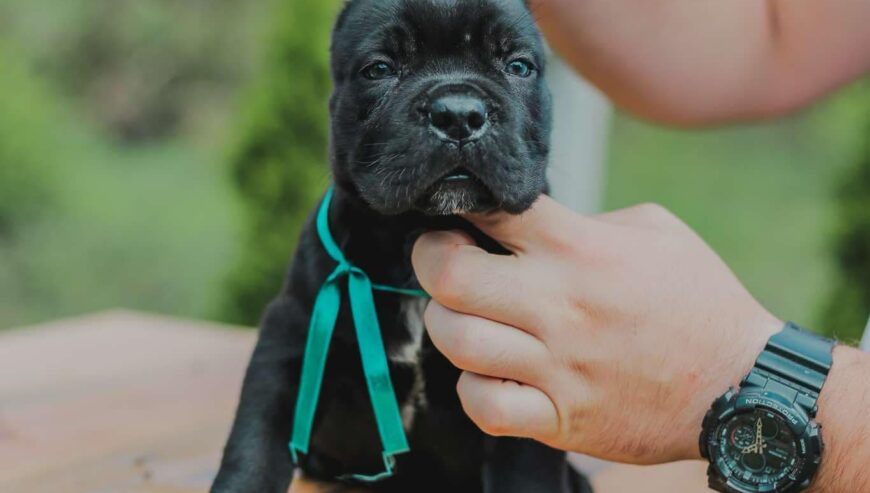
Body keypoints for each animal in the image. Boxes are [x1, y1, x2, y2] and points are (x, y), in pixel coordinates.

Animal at [212, 0, 592, 492]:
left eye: (518, 66)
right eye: (379, 69)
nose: (458, 114)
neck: (418, 230)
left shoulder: (525, 378)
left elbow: (526, 471)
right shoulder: (292, 335)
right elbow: (254, 444)